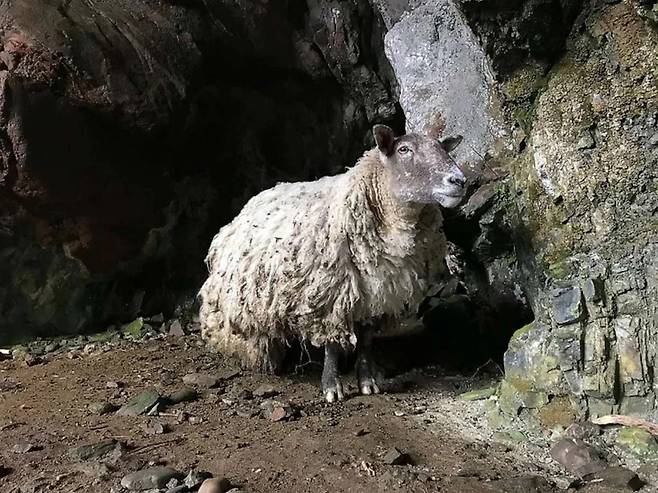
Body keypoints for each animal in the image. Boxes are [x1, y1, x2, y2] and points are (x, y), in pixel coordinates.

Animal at [197, 125, 464, 402]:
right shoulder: (331, 293)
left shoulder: (377, 294)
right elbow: (333, 346)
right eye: (404, 149)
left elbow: (366, 341)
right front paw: (332, 387)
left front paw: (367, 382)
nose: (459, 180)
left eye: (442, 148)